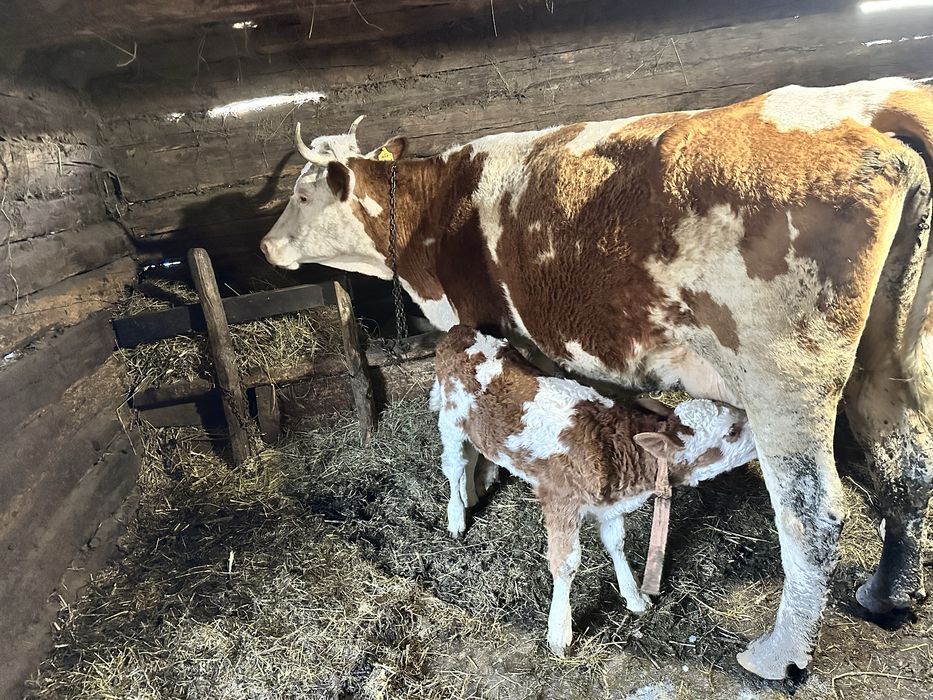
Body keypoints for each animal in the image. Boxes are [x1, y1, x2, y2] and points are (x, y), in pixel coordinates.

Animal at [432, 324, 758, 656]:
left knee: (473, 454)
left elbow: (617, 545)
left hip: (474, 428)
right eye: (731, 432)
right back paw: (457, 517)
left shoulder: (610, 508)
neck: (615, 448)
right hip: (450, 421)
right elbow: (566, 564)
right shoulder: (560, 502)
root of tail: (461, 331)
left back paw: (471, 494)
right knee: (455, 464)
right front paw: (559, 634)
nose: (757, 427)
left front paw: (635, 598)